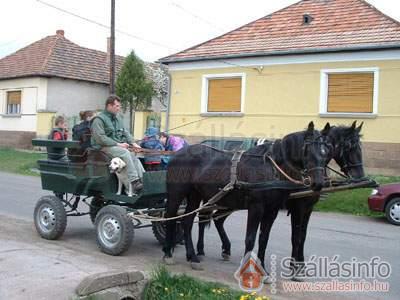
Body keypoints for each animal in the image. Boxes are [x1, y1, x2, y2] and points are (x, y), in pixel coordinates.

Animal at [162, 122, 332, 270]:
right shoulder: (257, 207)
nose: (318, 183)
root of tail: (177, 154)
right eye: (308, 150)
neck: (271, 168)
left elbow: (263, 239)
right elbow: (250, 239)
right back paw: (168, 252)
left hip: (196, 195)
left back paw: (192, 257)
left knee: (187, 222)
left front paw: (263, 270)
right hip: (177, 194)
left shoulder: (272, 210)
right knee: (170, 218)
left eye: (326, 151)